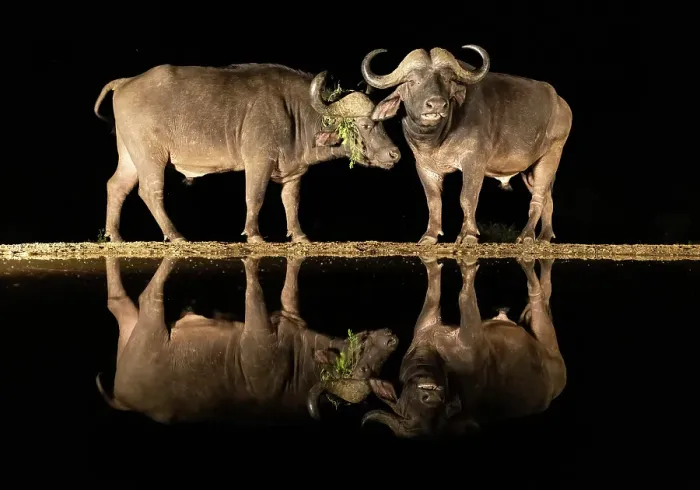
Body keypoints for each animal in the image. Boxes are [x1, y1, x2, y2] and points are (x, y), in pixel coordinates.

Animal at [94, 63, 401, 243]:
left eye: (383, 121)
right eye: (365, 124)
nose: (394, 155)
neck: (296, 113)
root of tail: (125, 82)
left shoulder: (295, 172)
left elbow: (291, 202)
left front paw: (299, 236)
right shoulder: (259, 162)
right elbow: (255, 196)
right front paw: (254, 235)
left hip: (130, 156)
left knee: (116, 186)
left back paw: (115, 235)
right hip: (151, 156)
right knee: (150, 191)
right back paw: (176, 235)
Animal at [95, 256, 399, 425]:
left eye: (373, 370)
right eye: (362, 343)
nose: (391, 337)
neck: (299, 368)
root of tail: (125, 401)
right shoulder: (264, 327)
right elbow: (257, 293)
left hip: (137, 326)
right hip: (150, 326)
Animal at [361, 46, 573, 245]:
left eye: (447, 80)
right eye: (412, 81)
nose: (436, 105)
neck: (437, 139)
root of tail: (562, 104)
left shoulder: (474, 161)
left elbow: (467, 198)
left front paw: (468, 234)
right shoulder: (424, 167)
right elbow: (433, 200)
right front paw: (429, 235)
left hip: (551, 156)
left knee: (538, 198)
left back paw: (526, 236)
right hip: (529, 170)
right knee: (547, 198)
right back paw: (544, 237)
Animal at [361, 256, 567, 438]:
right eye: (408, 413)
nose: (430, 398)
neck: (436, 353)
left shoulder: (429, 322)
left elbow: (439, 293)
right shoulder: (469, 334)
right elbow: (463, 296)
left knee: (541, 293)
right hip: (547, 334)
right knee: (539, 294)